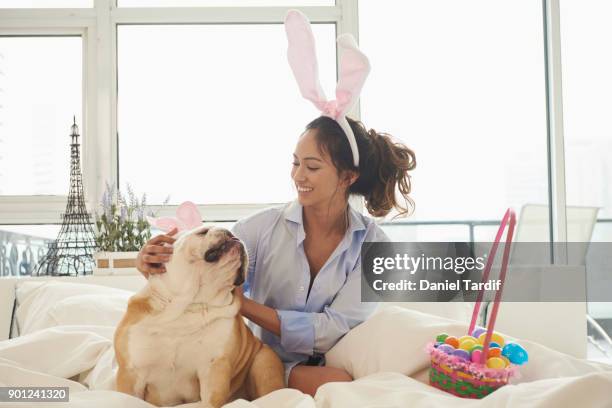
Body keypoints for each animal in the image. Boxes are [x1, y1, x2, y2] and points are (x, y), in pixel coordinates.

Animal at [114, 202, 284, 406]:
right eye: (202, 232)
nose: (231, 232)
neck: (188, 304)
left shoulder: (214, 369)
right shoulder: (131, 373)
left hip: (264, 362)